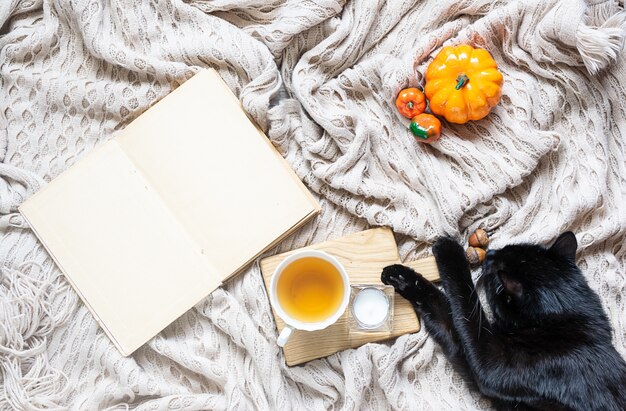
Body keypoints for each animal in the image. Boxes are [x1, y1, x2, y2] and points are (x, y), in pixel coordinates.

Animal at [378, 233, 624, 410]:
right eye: (508, 248)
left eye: (494, 271)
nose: (491, 252)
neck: (562, 321)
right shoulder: (470, 356)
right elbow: (444, 311)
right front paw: (400, 276)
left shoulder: (490, 362)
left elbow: (466, 300)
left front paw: (449, 249)